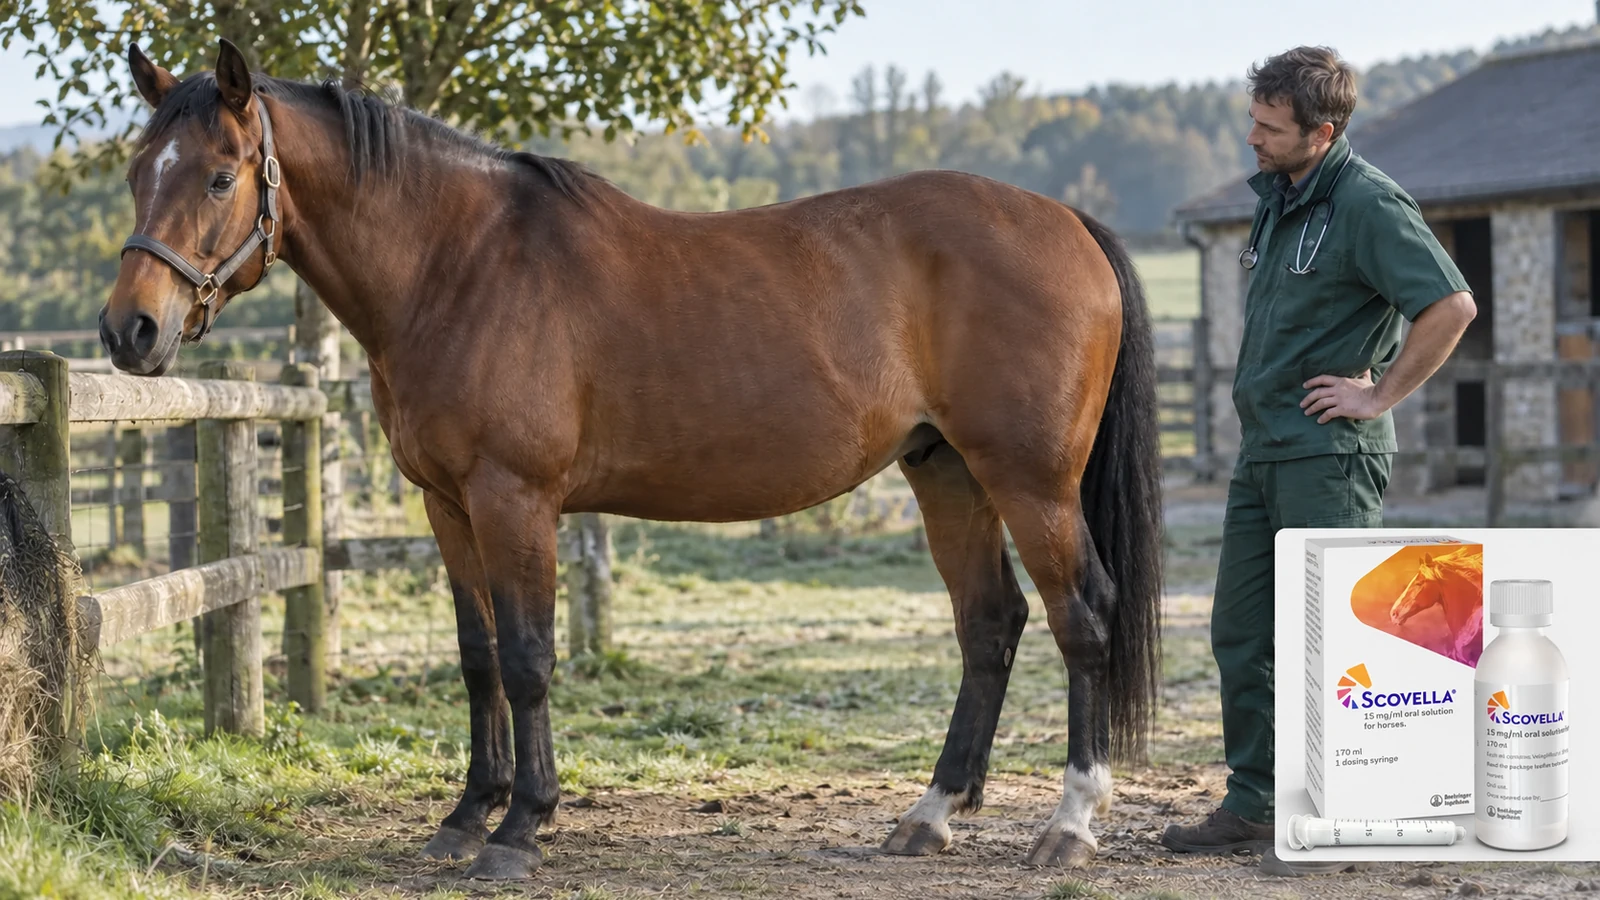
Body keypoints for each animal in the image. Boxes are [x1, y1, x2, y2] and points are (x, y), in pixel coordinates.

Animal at [99, 39, 1163, 880]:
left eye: (221, 176)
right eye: (137, 170)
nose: (129, 332)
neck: (459, 265)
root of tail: (1066, 222)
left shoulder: (515, 500)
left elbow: (528, 660)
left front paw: (519, 830)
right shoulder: (449, 506)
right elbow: (477, 659)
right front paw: (464, 818)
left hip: (1031, 482)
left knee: (1082, 618)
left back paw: (1070, 824)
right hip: (947, 473)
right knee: (989, 625)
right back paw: (930, 816)